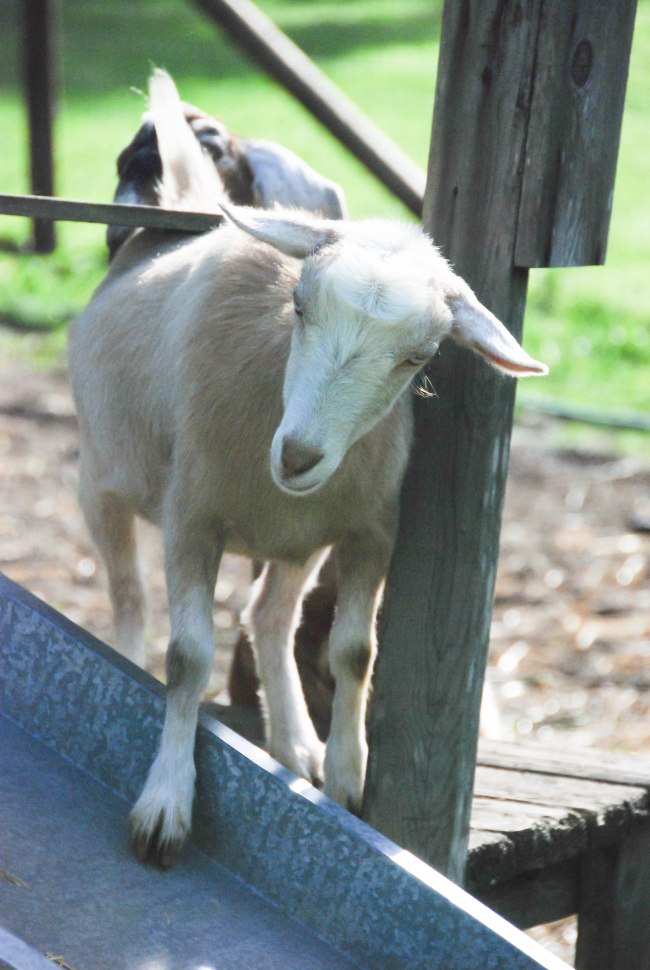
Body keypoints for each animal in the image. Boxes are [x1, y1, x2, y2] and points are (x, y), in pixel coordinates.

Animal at [69, 70, 547, 866]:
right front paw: (165, 805)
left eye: (418, 357)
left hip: (298, 542)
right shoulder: (191, 516)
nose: (298, 455)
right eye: (298, 305)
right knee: (130, 601)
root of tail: (185, 209)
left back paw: (296, 745)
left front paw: (350, 776)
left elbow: (355, 650)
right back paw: (130, 661)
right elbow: (187, 656)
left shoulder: (368, 529)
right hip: (99, 484)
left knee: (268, 616)